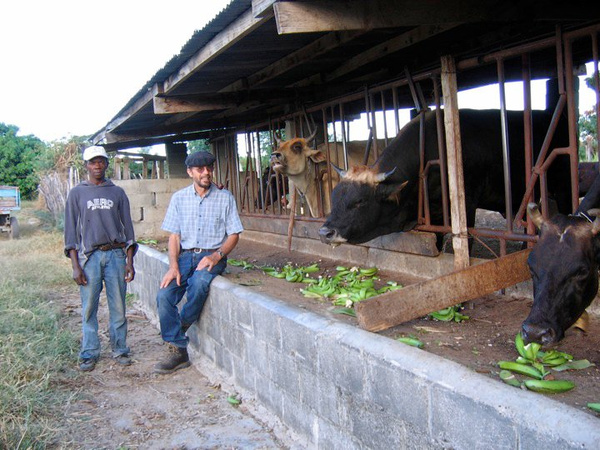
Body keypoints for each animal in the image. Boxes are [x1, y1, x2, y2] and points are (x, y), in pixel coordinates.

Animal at [318, 109, 572, 247]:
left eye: (359, 202)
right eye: (334, 197)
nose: (324, 233)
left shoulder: (466, 204)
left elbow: (466, 240)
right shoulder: (434, 213)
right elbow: (437, 241)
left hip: (562, 188)